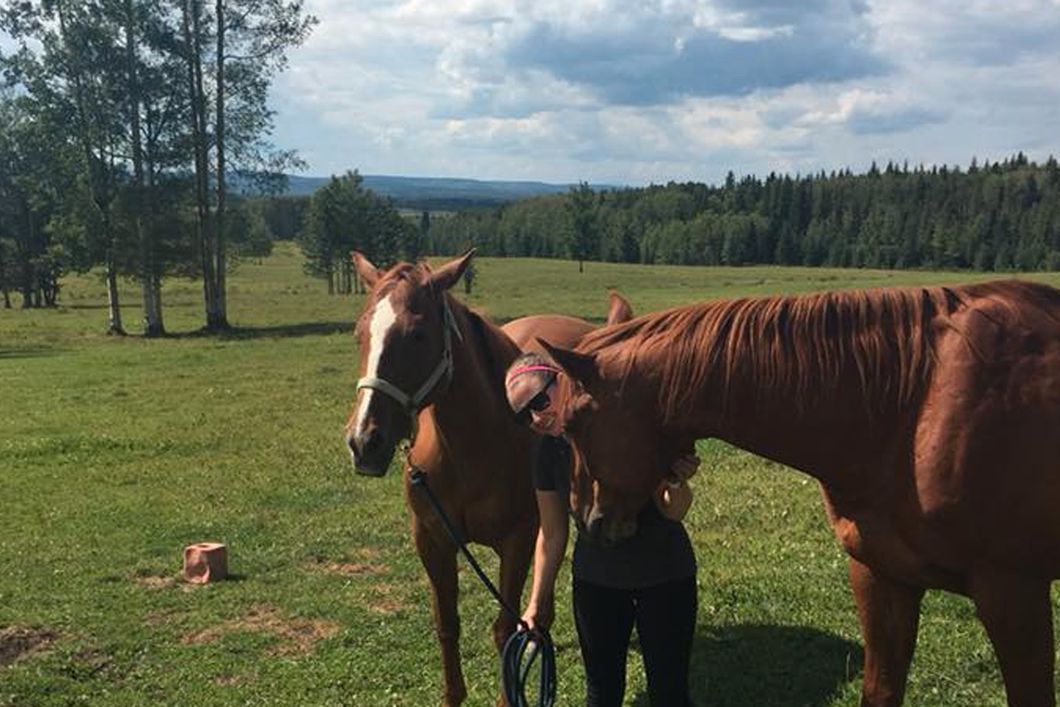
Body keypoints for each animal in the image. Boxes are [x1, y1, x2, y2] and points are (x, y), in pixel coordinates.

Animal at [344, 250, 632, 706]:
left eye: (418, 335)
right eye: (359, 334)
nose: (363, 441)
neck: (472, 447)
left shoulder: (517, 540)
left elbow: (503, 631)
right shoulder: (431, 540)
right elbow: (447, 625)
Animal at [540, 279, 1060, 706]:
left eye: (574, 424)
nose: (588, 520)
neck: (913, 404)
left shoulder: (1013, 595)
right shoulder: (883, 578)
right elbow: (880, 690)